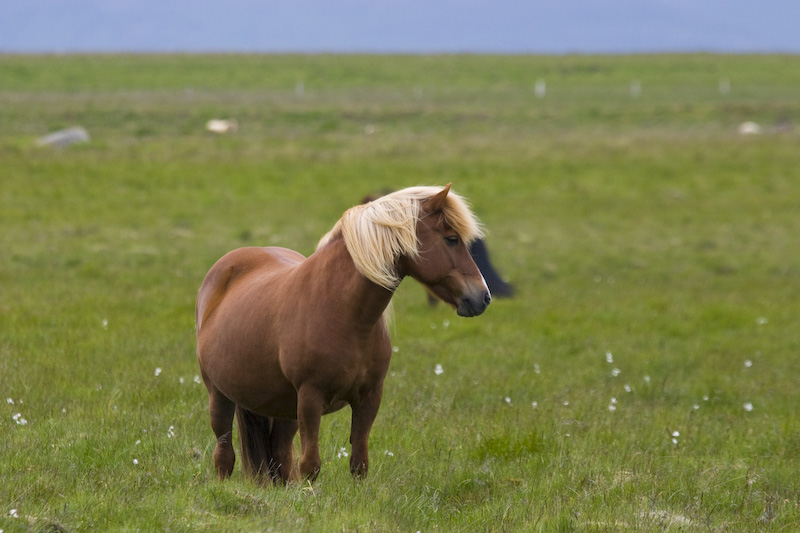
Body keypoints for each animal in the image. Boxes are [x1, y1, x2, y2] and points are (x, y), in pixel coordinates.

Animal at [197, 183, 490, 482]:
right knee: (224, 455)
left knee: (279, 456)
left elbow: (359, 463)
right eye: (452, 239)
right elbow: (310, 465)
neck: (343, 314)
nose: (483, 297)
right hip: (219, 396)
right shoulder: (310, 398)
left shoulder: (369, 398)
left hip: (282, 407)